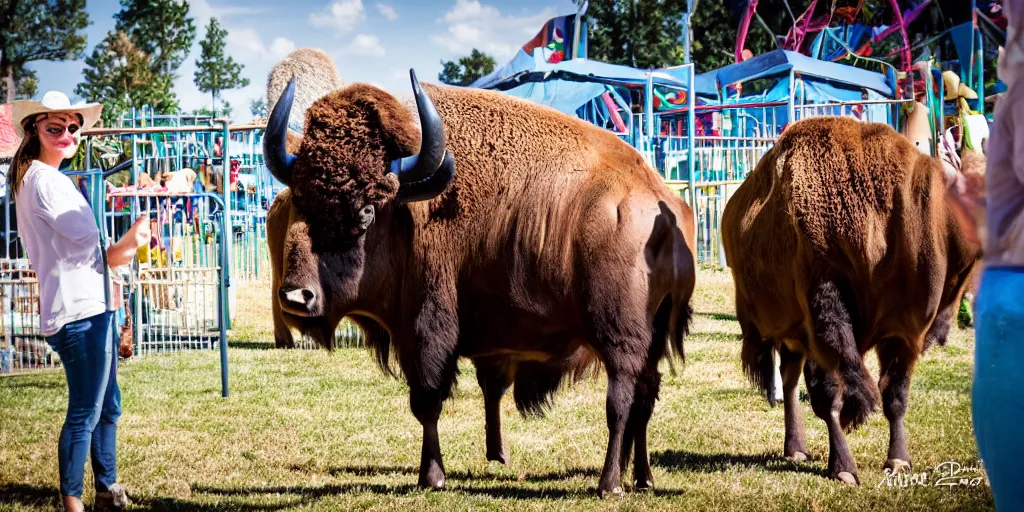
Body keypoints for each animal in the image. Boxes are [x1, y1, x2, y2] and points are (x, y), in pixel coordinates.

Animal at [262, 68, 696, 495]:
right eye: (299, 199)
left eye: (366, 210)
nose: (296, 296)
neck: (407, 209)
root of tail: (663, 206)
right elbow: (482, 390)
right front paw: (488, 457)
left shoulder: (426, 331)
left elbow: (427, 401)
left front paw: (431, 477)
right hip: (652, 339)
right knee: (644, 399)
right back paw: (641, 477)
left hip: (619, 338)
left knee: (620, 402)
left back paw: (609, 484)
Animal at [720, 116, 983, 483]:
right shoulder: (823, 322)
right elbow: (829, 396)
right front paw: (844, 468)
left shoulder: (903, 329)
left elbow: (895, 395)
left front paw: (898, 460)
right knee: (793, 380)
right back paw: (798, 449)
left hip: (796, 336)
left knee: (789, 377)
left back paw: (796, 448)